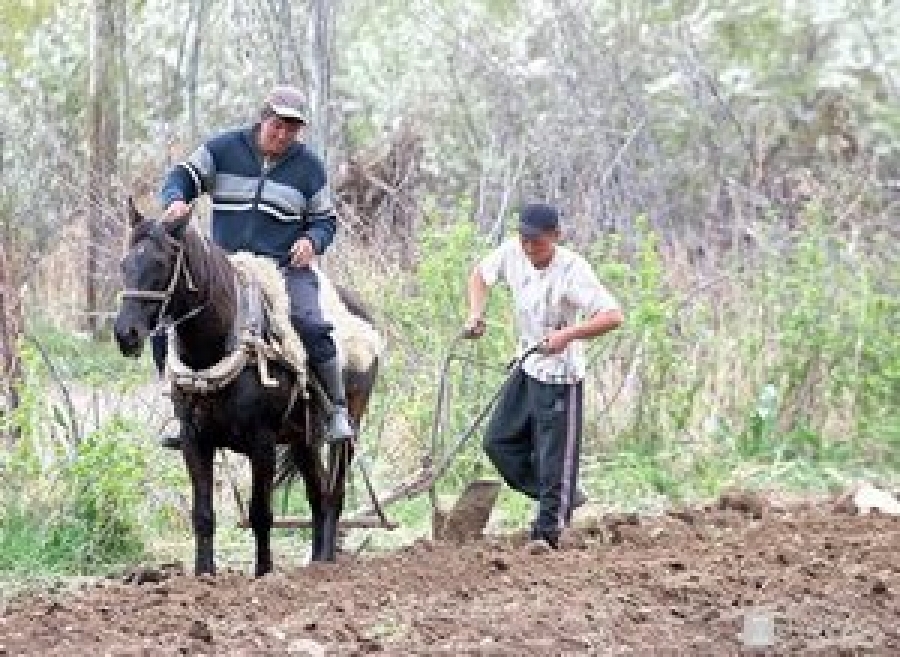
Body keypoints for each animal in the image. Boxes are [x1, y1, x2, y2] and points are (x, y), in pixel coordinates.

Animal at [113, 200, 380, 576]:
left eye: (161, 263)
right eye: (125, 263)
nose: (126, 334)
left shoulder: (261, 442)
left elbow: (261, 514)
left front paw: (264, 573)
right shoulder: (195, 440)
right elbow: (203, 515)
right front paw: (205, 575)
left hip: (346, 430)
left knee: (335, 492)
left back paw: (325, 563)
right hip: (304, 439)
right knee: (319, 496)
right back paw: (315, 562)